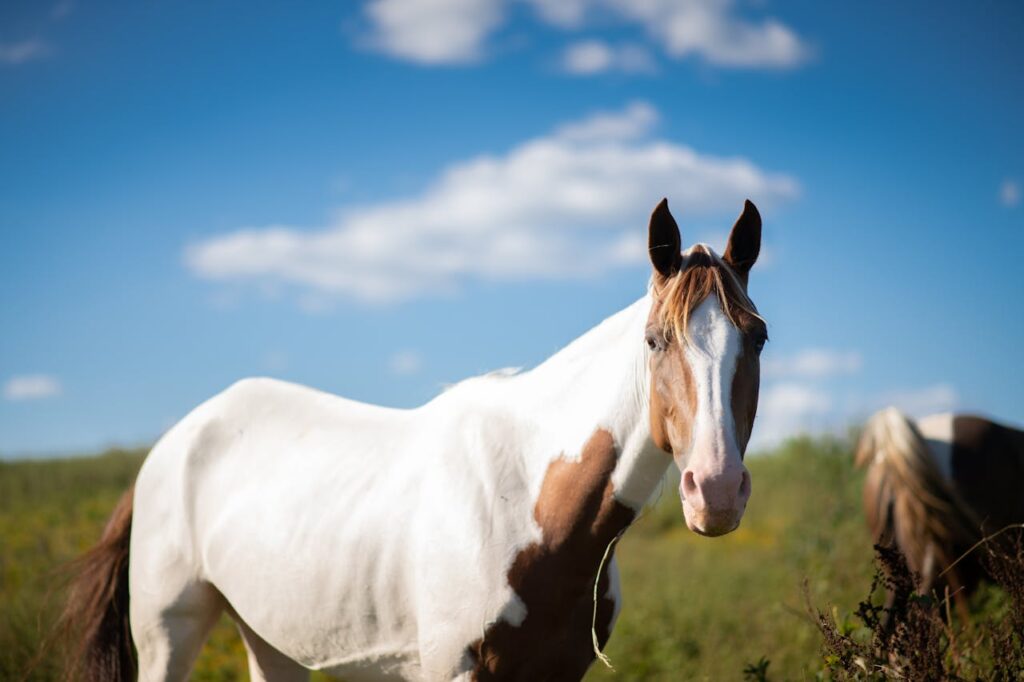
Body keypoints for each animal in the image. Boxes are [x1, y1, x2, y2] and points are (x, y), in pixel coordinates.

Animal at [62, 197, 768, 682]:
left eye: (758, 338)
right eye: (655, 341)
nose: (715, 491)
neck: (530, 505)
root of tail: (172, 446)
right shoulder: (454, 669)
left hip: (270, 638)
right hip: (168, 633)